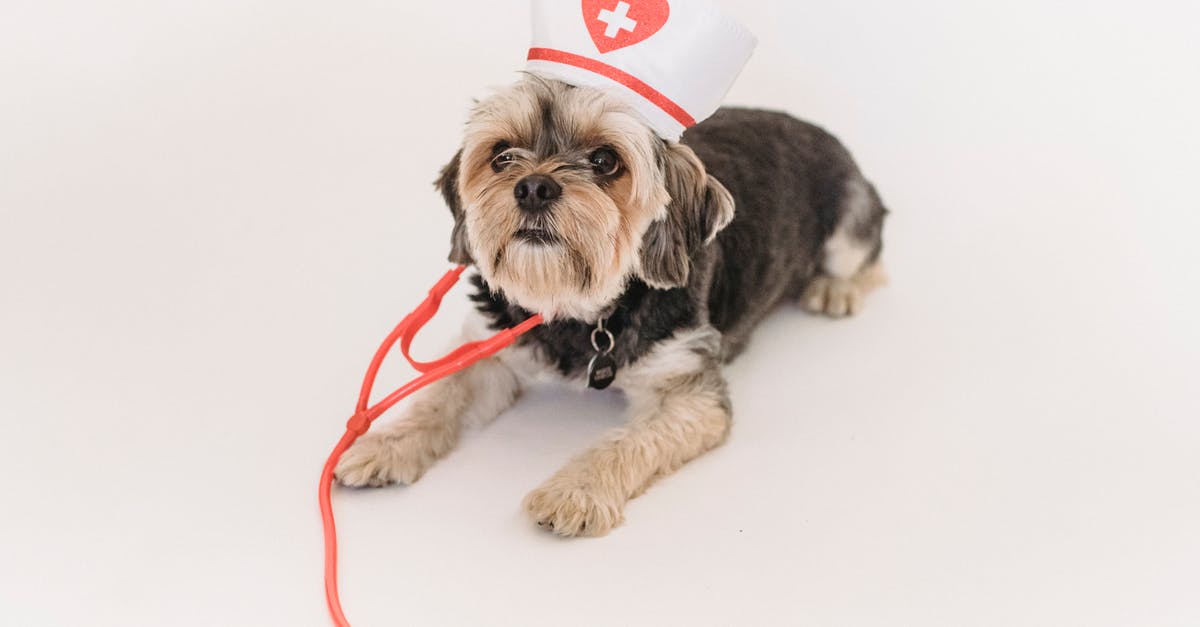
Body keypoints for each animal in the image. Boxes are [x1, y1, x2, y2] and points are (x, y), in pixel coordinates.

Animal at [333, 72, 888, 530]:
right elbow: (439, 397)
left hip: (850, 220)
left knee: (869, 256)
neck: (578, 309)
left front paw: (575, 491)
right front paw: (382, 445)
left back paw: (834, 289)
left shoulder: (688, 391)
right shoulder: (491, 349)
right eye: (502, 155)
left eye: (604, 160)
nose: (533, 187)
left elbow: (626, 442)